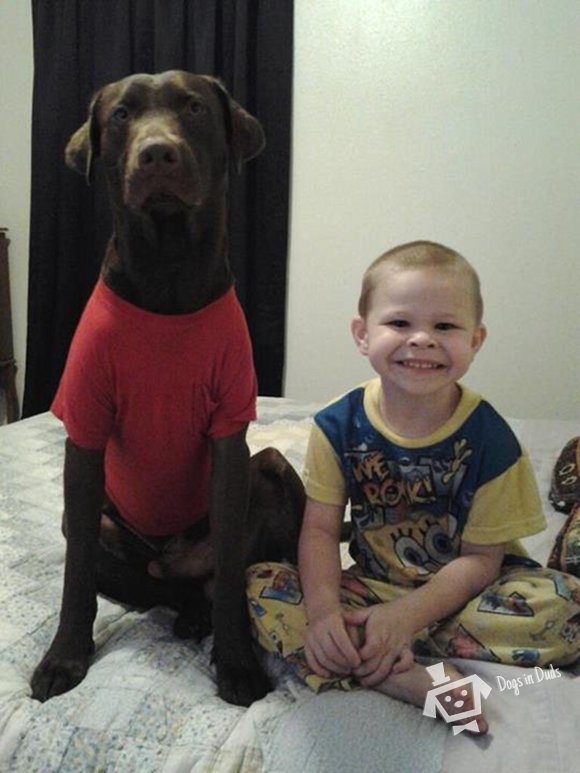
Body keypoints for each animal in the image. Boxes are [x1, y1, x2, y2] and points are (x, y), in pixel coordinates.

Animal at [28, 71, 304, 704]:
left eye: (195, 108)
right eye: (122, 115)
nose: (157, 153)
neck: (168, 272)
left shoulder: (231, 435)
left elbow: (229, 568)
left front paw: (238, 663)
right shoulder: (84, 431)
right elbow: (76, 573)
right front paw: (64, 656)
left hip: (274, 467)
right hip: (111, 535)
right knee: (156, 588)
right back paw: (187, 614)